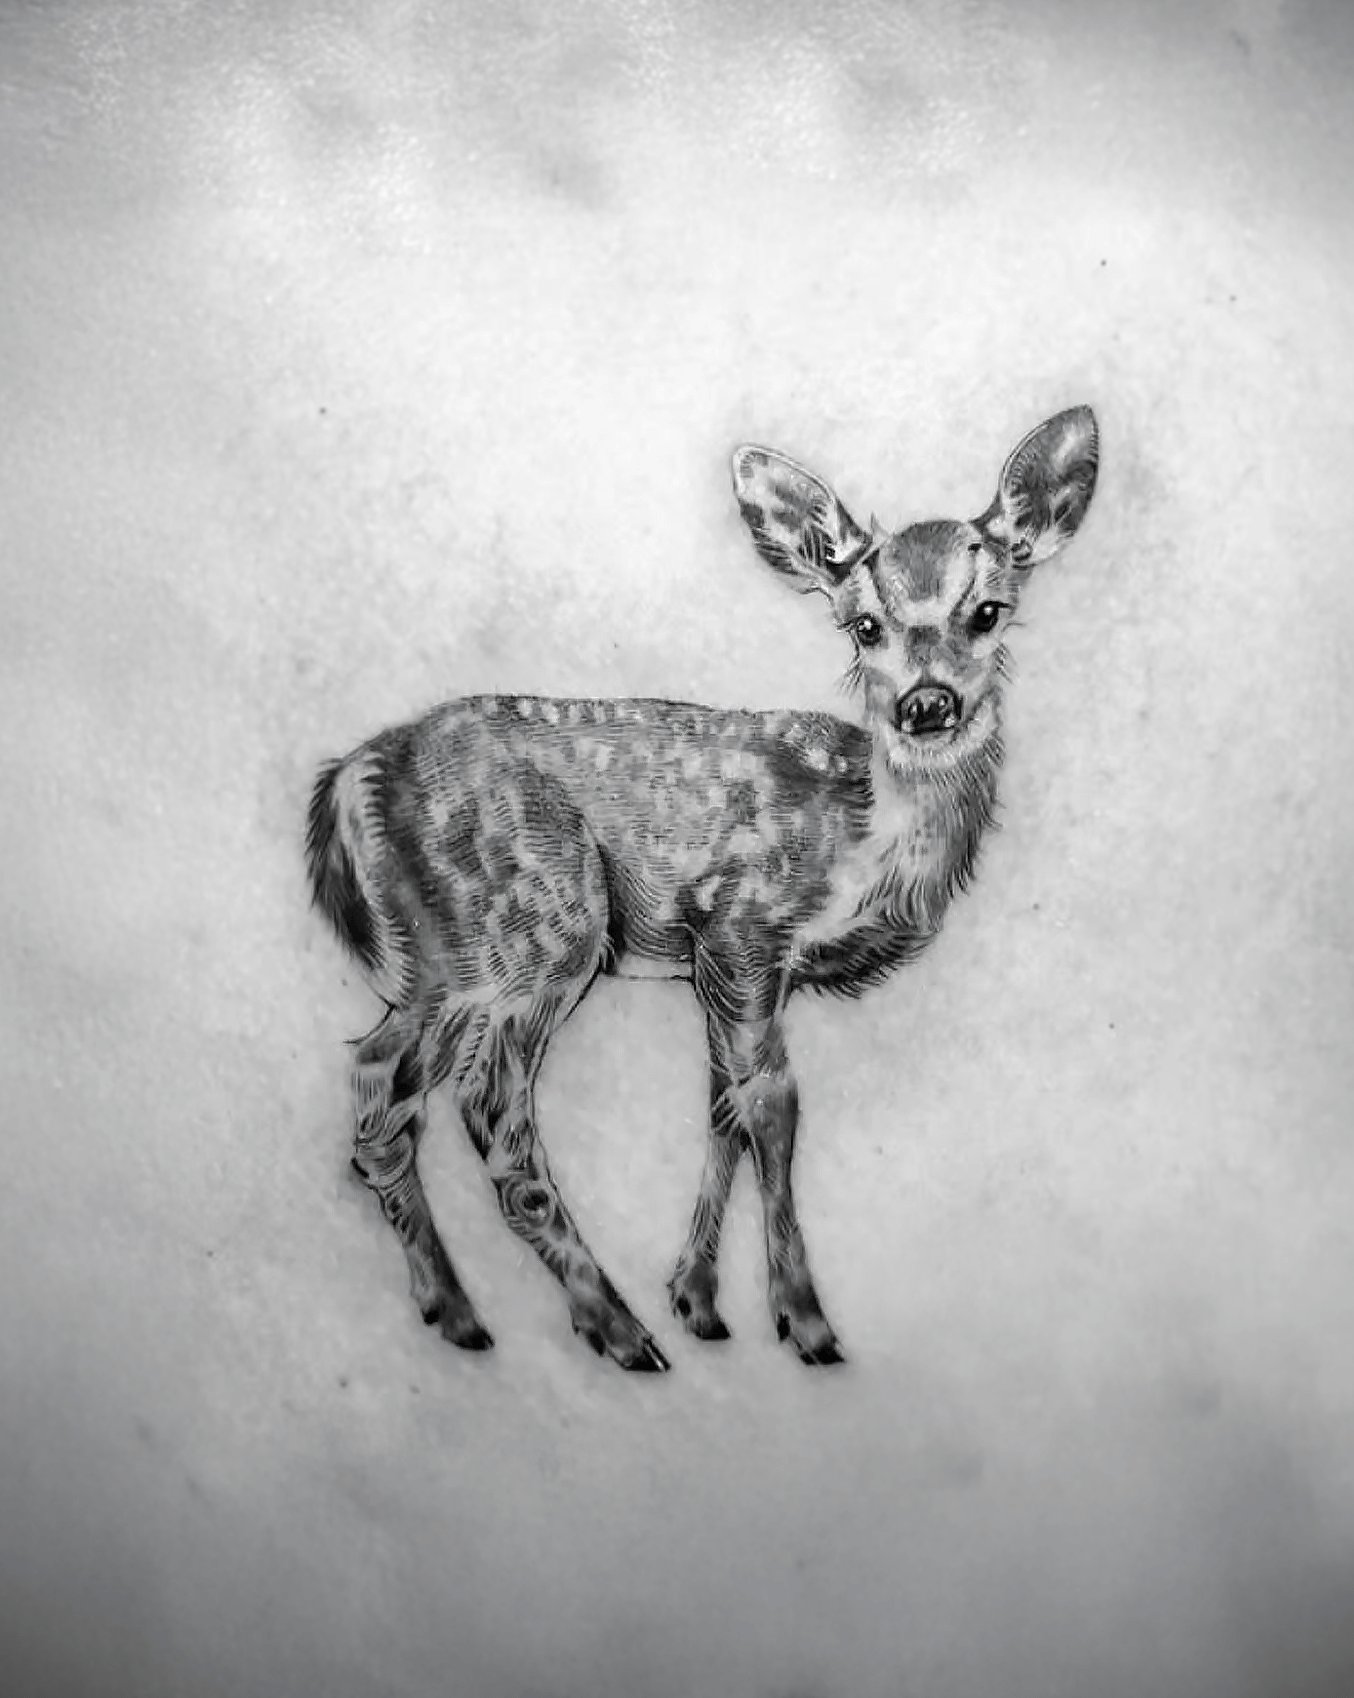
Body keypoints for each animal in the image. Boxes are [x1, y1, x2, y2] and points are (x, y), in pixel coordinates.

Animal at [306, 407, 1099, 1372]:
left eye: (988, 611)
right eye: (863, 626)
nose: (926, 704)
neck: (862, 839)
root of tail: (346, 781)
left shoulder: (724, 969)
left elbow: (722, 1105)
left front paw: (700, 1299)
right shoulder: (743, 928)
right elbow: (774, 1106)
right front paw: (803, 1321)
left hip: (442, 961)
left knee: (378, 1088)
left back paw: (459, 1314)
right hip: (539, 929)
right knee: (489, 1109)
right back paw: (614, 1330)